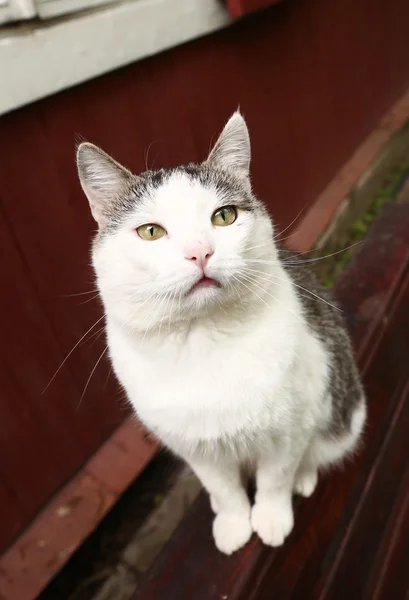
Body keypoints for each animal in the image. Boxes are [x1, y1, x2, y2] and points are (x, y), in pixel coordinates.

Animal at [77, 111, 366, 552]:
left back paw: (305, 477)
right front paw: (233, 524)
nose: (200, 252)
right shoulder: (193, 446)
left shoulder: (292, 427)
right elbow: (223, 489)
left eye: (224, 216)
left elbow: (276, 477)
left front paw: (270, 517)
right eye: (150, 231)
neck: (203, 340)